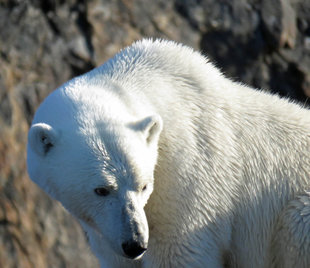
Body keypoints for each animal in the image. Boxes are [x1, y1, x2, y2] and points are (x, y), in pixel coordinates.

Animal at [26, 38, 310, 266]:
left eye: (143, 185)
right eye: (101, 189)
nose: (135, 244)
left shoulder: (189, 179)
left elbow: (180, 254)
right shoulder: (106, 229)